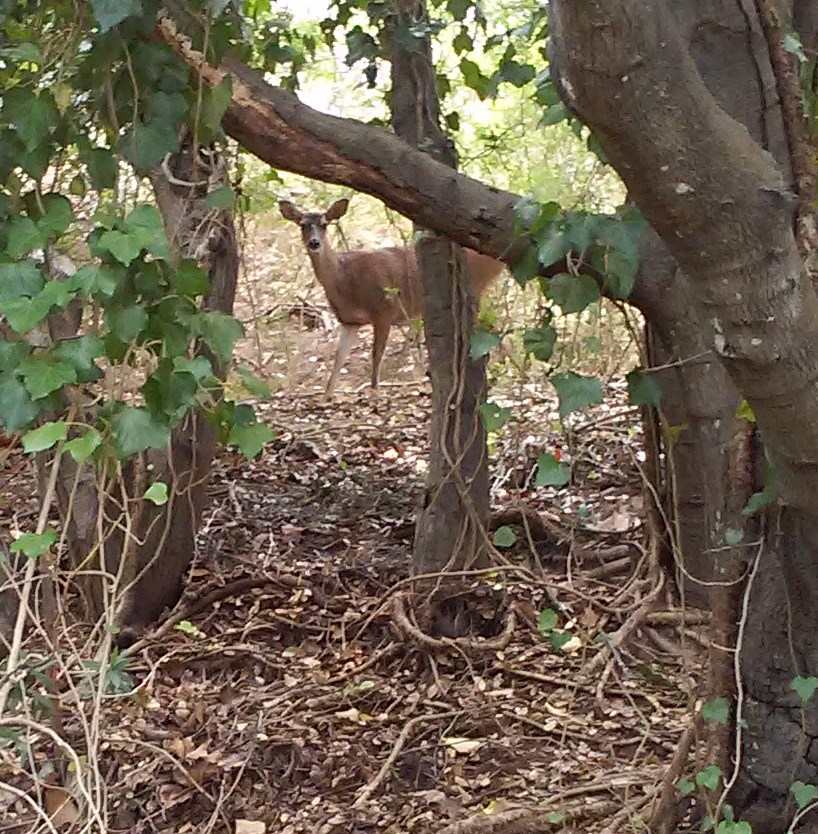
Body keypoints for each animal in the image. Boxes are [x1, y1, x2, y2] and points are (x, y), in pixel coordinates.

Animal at [279, 197, 503, 397]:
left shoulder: (384, 310)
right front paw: (326, 397)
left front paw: (374, 394)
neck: (345, 280)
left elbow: (376, 355)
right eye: (302, 225)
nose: (314, 243)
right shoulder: (349, 321)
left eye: (324, 225)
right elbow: (338, 358)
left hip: (474, 286)